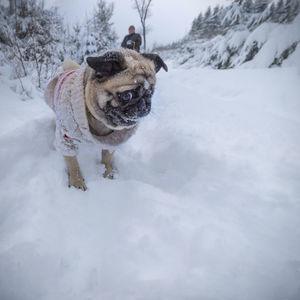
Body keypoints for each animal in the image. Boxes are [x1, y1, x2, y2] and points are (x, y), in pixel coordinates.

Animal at [44, 49, 168, 190]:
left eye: (150, 94)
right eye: (127, 96)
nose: (144, 104)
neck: (101, 123)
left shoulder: (111, 143)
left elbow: (107, 159)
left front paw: (107, 173)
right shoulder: (66, 140)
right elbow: (73, 163)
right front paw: (77, 183)